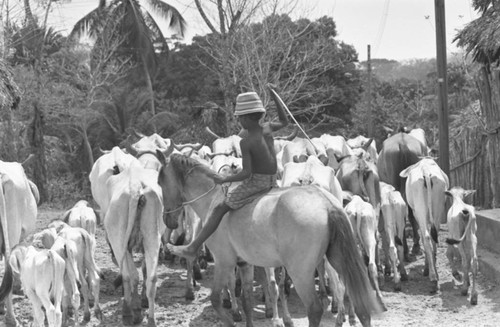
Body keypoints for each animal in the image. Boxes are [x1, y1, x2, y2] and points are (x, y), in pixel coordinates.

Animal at [157, 153, 382, 327]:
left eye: (160, 181)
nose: (167, 220)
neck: (213, 197)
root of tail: (326, 204)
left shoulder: (224, 261)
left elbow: (215, 300)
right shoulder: (244, 264)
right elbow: (246, 301)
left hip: (300, 272)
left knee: (315, 309)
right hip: (340, 260)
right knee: (357, 303)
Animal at [398, 159, 450, 294]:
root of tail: (425, 171)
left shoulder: (417, 214)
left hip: (420, 210)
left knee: (426, 237)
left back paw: (432, 277)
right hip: (437, 209)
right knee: (433, 237)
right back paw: (434, 274)